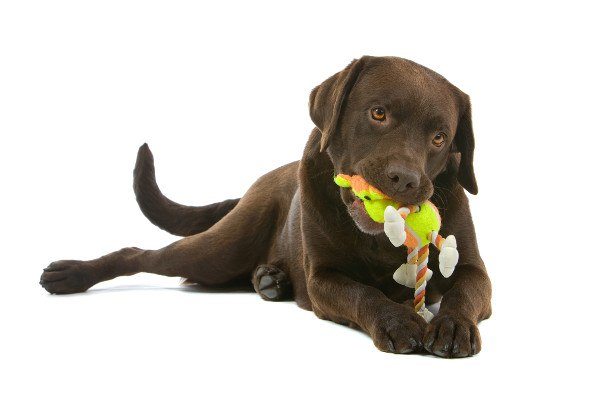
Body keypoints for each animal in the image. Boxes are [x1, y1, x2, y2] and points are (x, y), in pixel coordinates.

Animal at [39, 56, 492, 358]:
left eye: (439, 137)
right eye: (378, 113)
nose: (406, 179)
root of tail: (257, 184)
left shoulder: (475, 270)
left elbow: (465, 292)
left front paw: (452, 324)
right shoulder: (323, 278)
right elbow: (363, 293)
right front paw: (396, 319)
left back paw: (270, 279)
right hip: (218, 250)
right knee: (143, 254)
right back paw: (72, 273)